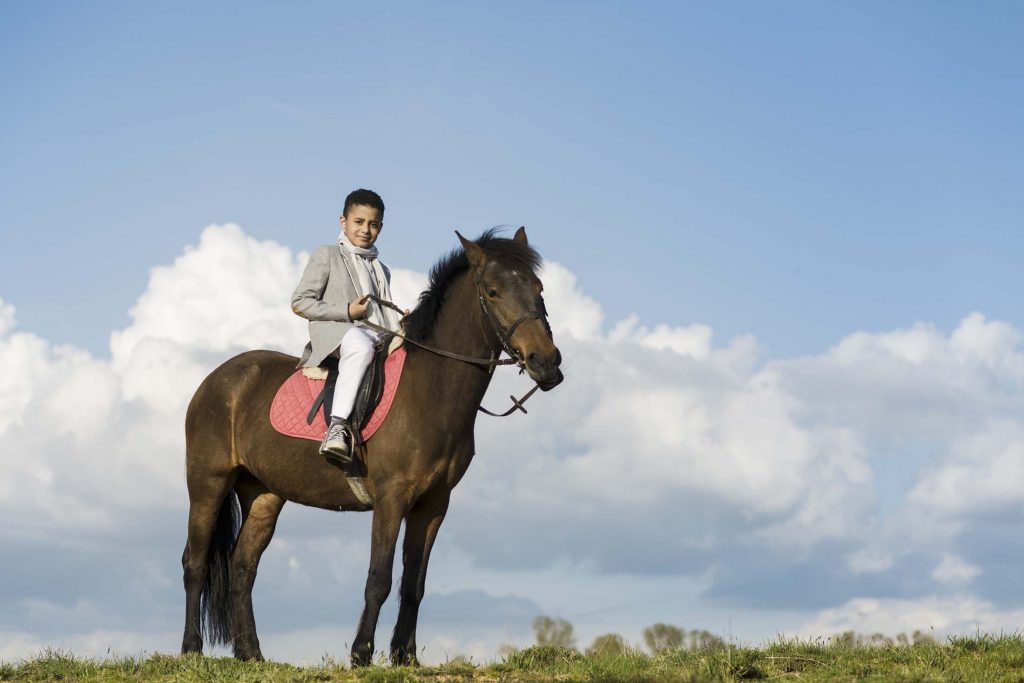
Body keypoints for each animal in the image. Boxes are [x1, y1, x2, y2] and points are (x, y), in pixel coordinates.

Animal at [180, 228, 563, 665]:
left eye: (538, 288)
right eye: (494, 292)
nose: (547, 363)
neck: (431, 387)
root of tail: (218, 378)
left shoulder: (433, 505)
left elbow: (414, 584)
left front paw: (406, 657)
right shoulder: (392, 498)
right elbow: (379, 578)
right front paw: (362, 652)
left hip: (264, 494)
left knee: (243, 566)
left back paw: (251, 654)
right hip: (208, 484)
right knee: (195, 562)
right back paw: (191, 649)